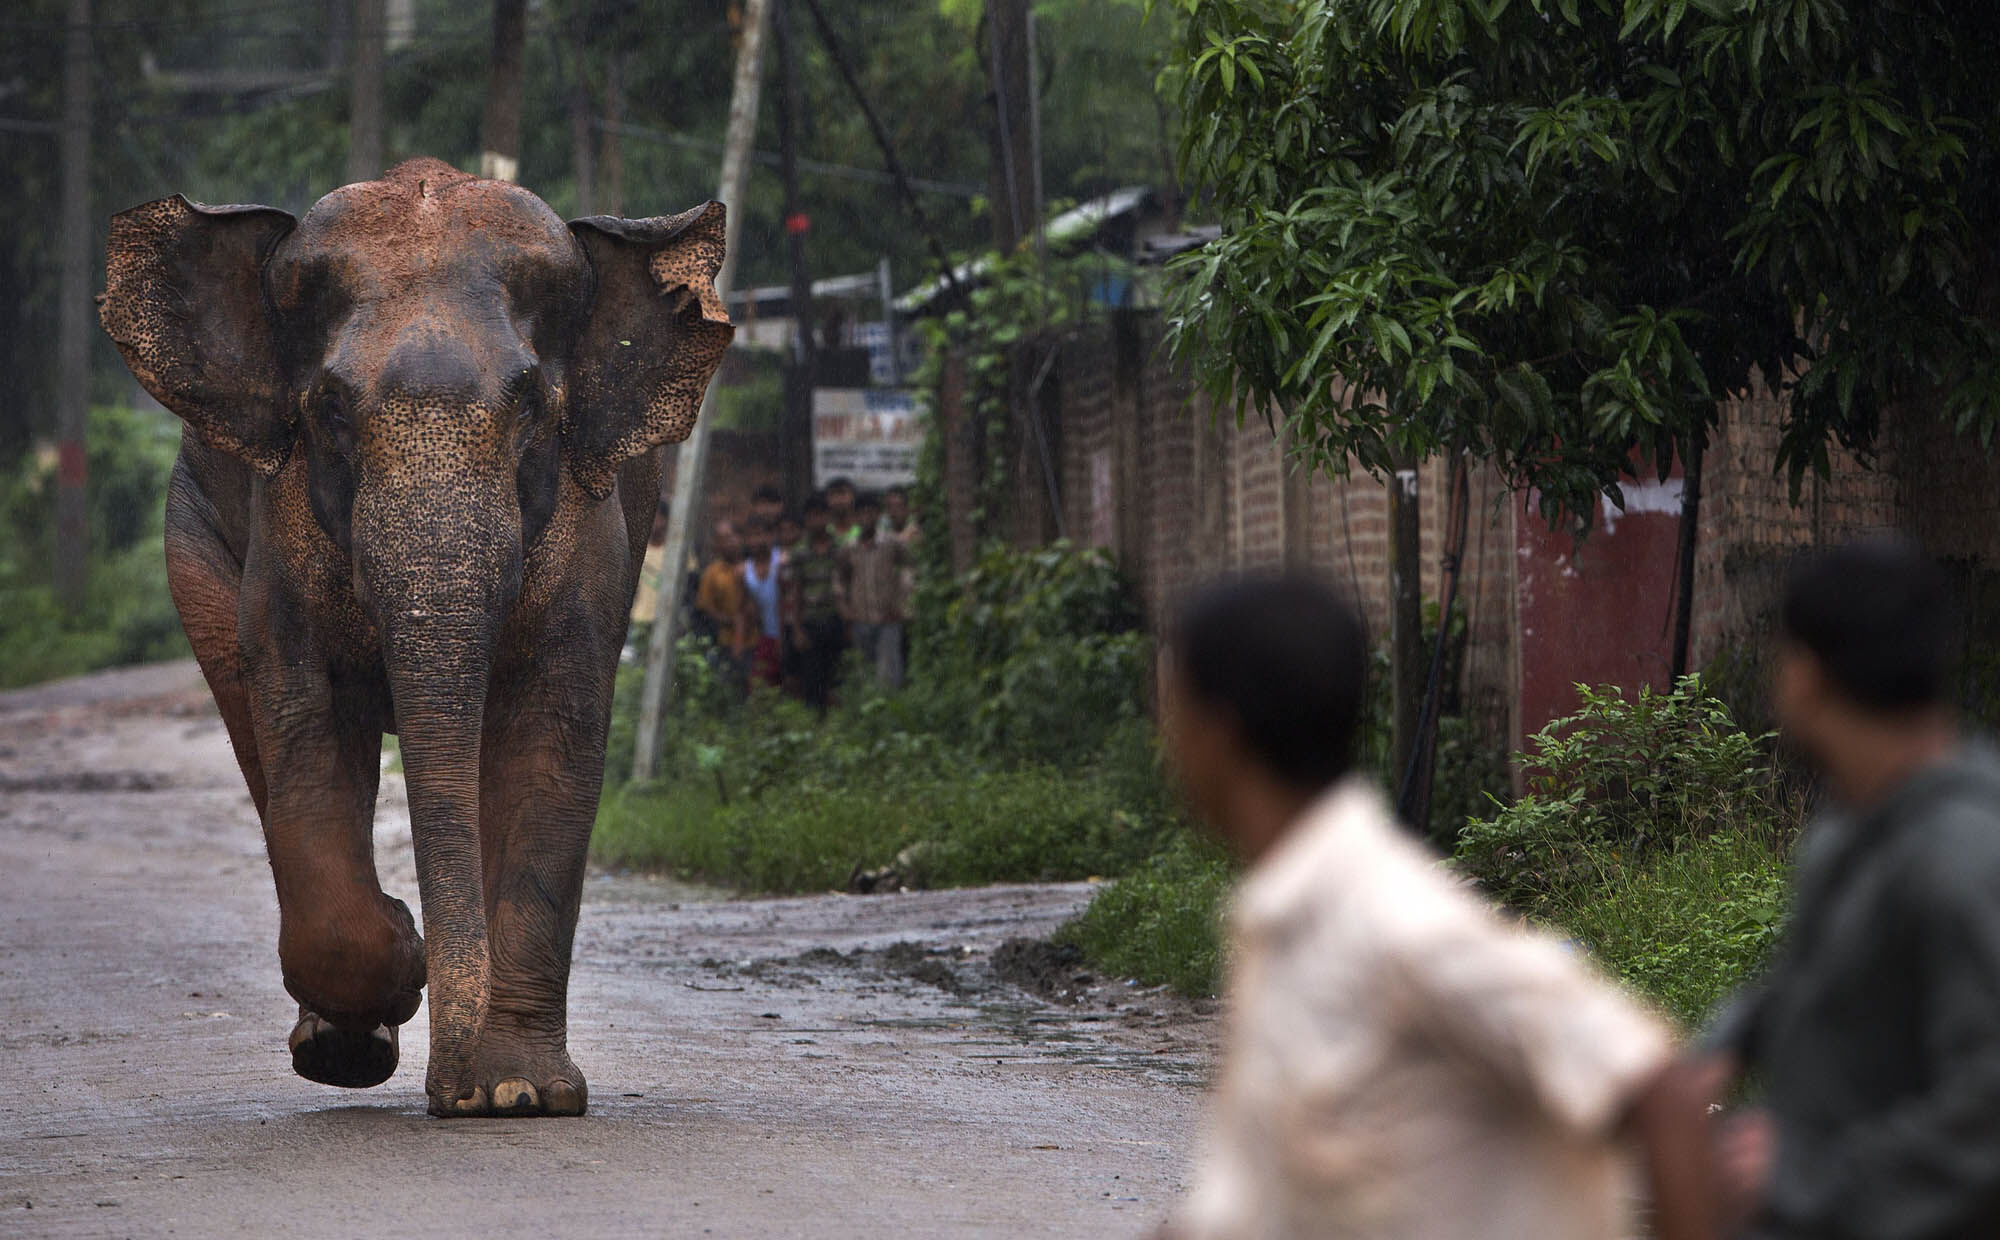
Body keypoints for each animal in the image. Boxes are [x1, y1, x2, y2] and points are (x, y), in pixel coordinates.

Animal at [95, 160, 736, 1120]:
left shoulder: (590, 530)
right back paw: (345, 1044)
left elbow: (552, 735)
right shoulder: (282, 521)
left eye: (531, 409)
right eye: (329, 409)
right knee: (257, 735)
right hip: (197, 535)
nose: (453, 1094)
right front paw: (403, 963)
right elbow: (307, 723)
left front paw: (520, 1094)